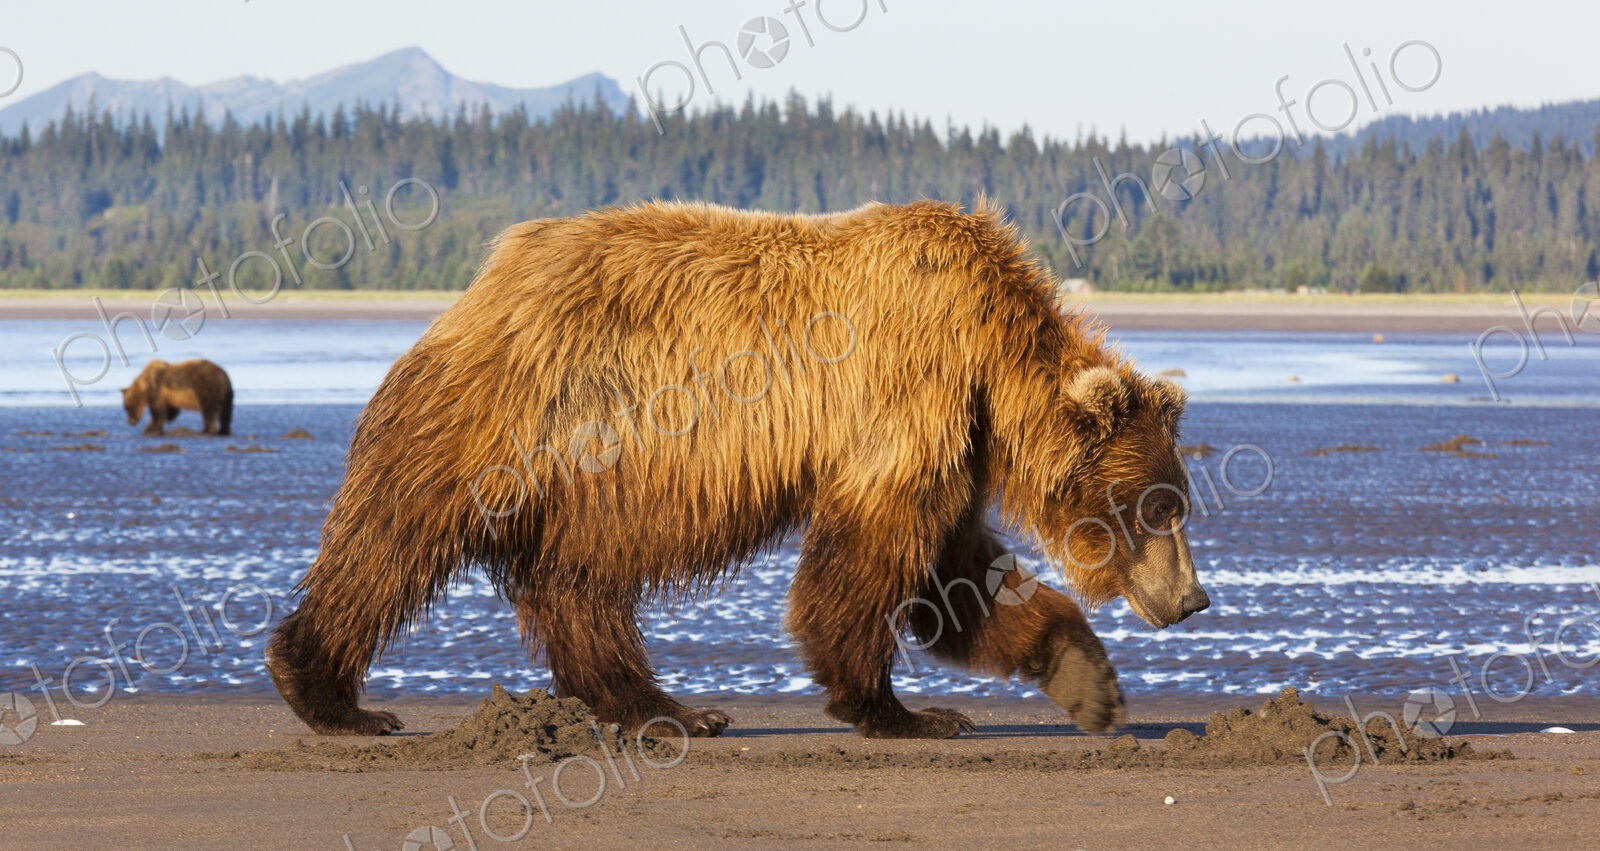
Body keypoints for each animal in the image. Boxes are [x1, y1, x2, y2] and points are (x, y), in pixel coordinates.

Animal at [266, 199, 1209, 740]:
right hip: (510, 421)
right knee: (394, 537)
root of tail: (479, 284)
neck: (991, 354)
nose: (1193, 597)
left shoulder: (951, 435)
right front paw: (901, 710)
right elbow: (872, 561)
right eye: (1157, 506)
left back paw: (666, 707)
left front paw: (1090, 682)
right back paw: (333, 694)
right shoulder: (906, 397)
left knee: (576, 579)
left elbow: (957, 572)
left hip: (583, 476)